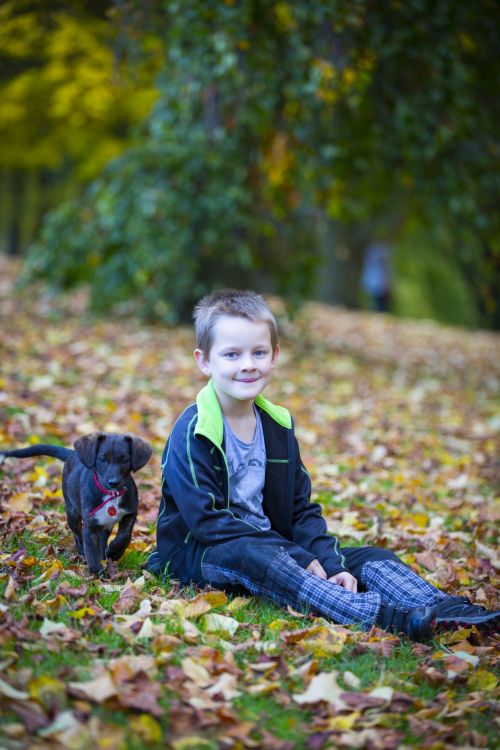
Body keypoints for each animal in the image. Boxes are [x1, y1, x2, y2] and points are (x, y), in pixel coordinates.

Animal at [0, 434, 152, 576]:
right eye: (102, 459)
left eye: (125, 460)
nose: (113, 482)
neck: (111, 495)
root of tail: (72, 453)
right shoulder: (89, 526)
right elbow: (91, 550)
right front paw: (97, 574)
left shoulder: (130, 512)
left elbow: (124, 535)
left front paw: (115, 551)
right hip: (72, 513)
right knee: (78, 536)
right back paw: (83, 554)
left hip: (104, 524)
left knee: (102, 539)